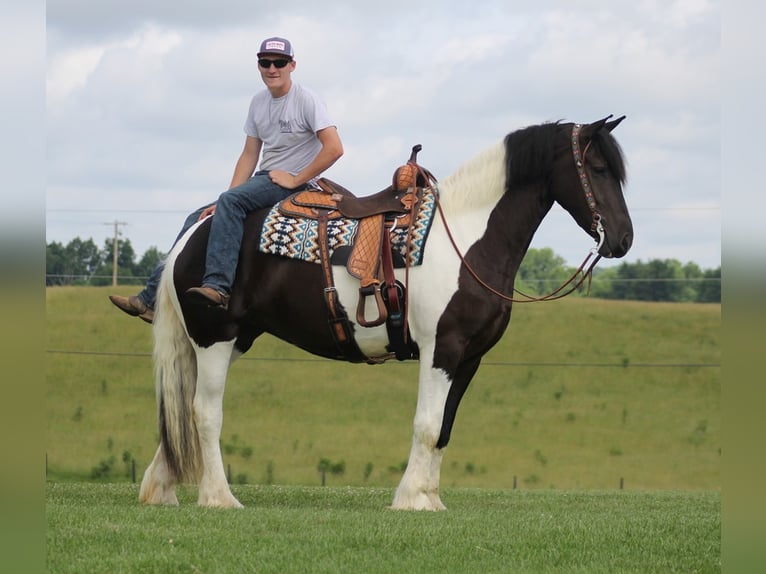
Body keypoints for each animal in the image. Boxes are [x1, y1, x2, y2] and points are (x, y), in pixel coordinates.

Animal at [138, 115, 636, 510]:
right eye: (597, 168)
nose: (623, 239)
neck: (468, 238)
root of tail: (194, 234)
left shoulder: (470, 358)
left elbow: (445, 429)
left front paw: (430, 497)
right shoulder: (442, 349)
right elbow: (427, 425)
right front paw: (412, 499)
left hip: (229, 339)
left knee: (181, 409)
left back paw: (162, 488)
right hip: (215, 337)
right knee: (204, 412)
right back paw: (219, 497)